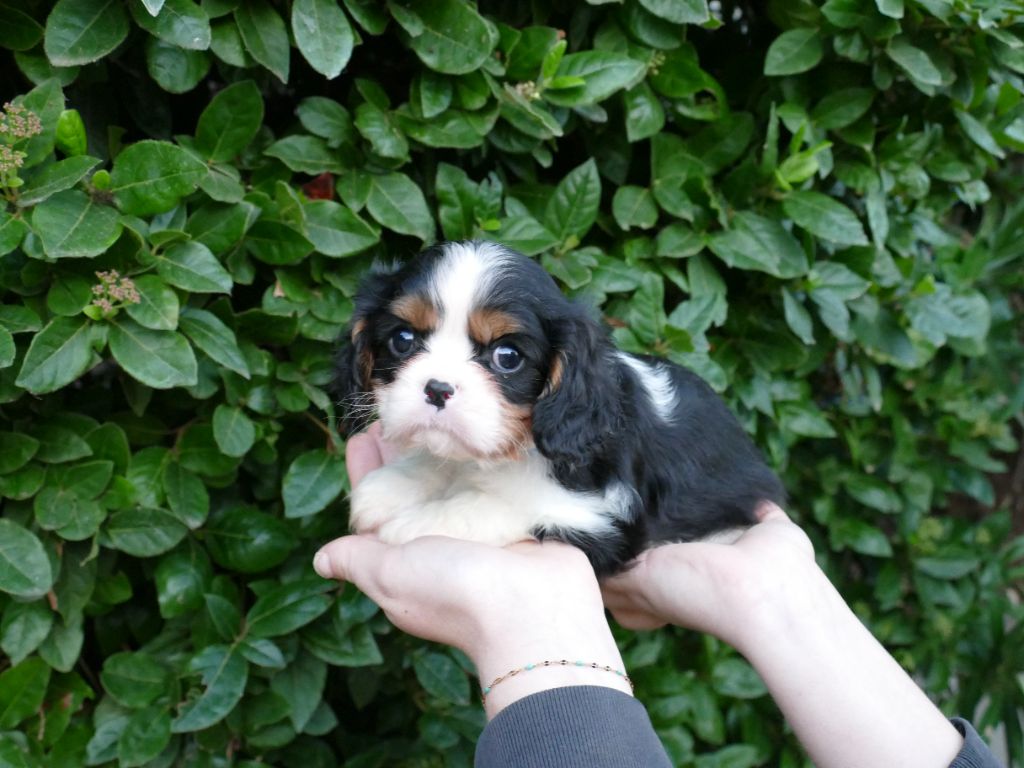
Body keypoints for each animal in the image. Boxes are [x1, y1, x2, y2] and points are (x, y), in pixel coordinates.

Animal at [335, 243, 782, 573]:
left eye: (508, 357)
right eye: (403, 339)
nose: (438, 389)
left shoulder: (596, 520)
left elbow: (494, 506)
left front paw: (417, 522)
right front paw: (393, 486)